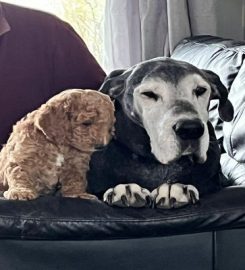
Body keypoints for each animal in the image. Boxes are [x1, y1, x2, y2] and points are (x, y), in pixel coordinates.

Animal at [87, 57, 233, 209]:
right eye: (149, 94)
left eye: (200, 90)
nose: (190, 129)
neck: (153, 162)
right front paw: (126, 188)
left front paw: (173, 188)